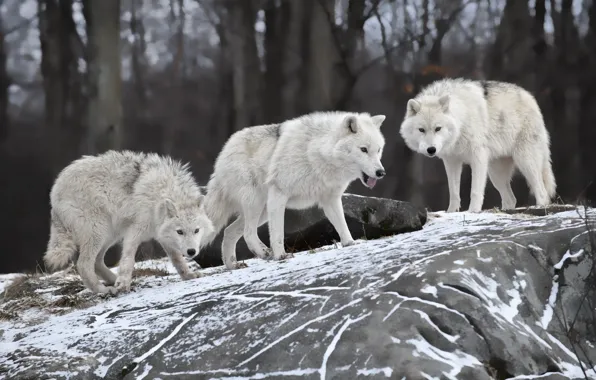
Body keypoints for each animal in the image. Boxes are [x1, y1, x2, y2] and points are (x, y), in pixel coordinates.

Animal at [45, 149, 215, 294]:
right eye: (180, 232)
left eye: (196, 230)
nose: (191, 252)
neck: (159, 195)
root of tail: (54, 191)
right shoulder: (134, 230)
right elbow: (128, 259)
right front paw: (123, 284)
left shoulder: (161, 234)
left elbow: (177, 259)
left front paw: (188, 275)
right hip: (99, 231)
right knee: (83, 265)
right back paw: (103, 290)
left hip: (110, 234)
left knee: (97, 262)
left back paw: (113, 281)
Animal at [200, 110, 386, 270]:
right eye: (363, 149)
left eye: (378, 150)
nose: (381, 172)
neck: (317, 152)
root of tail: (224, 152)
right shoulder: (279, 194)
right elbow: (278, 233)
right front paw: (281, 256)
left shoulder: (330, 199)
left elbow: (342, 225)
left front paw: (350, 244)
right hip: (256, 204)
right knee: (248, 233)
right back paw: (264, 253)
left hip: (262, 211)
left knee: (229, 231)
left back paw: (233, 265)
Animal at [398, 78, 556, 212]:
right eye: (421, 130)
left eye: (438, 128)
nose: (431, 149)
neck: (461, 120)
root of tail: (530, 97)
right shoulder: (451, 161)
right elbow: (453, 192)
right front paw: (451, 212)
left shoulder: (478, 157)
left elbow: (475, 191)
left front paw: (473, 211)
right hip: (496, 174)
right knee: (511, 199)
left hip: (525, 162)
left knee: (542, 192)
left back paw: (540, 207)